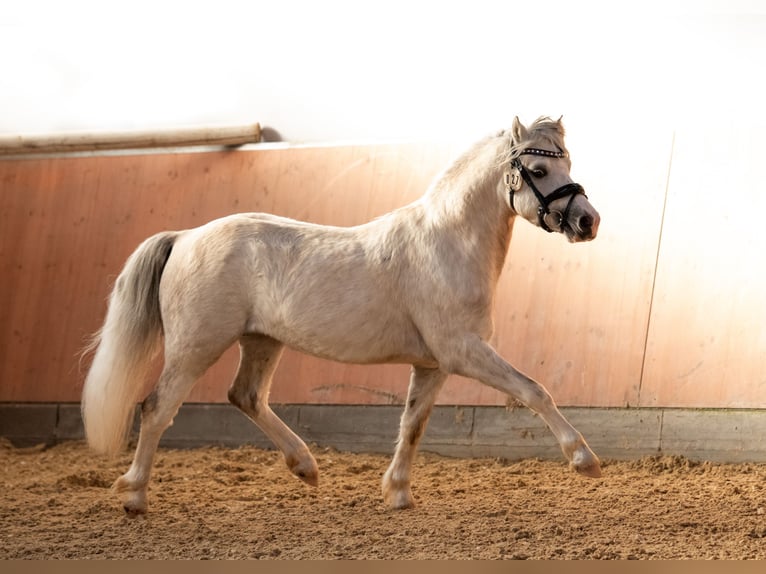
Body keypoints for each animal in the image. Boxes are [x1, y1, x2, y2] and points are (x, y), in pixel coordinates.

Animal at [81, 115, 602, 515]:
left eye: (568, 163)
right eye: (538, 168)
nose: (588, 221)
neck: (447, 244)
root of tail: (186, 237)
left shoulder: (432, 365)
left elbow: (412, 425)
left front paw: (398, 494)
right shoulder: (463, 352)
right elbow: (533, 391)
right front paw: (584, 459)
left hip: (262, 340)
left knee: (245, 396)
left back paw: (305, 467)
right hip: (197, 345)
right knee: (156, 408)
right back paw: (134, 497)